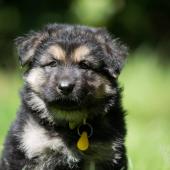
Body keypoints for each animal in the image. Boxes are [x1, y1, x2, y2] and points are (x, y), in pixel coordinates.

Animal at [0, 23, 127, 170]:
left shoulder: (107, 154)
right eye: (53, 63)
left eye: (84, 65)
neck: (68, 122)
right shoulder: (28, 150)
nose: (65, 87)